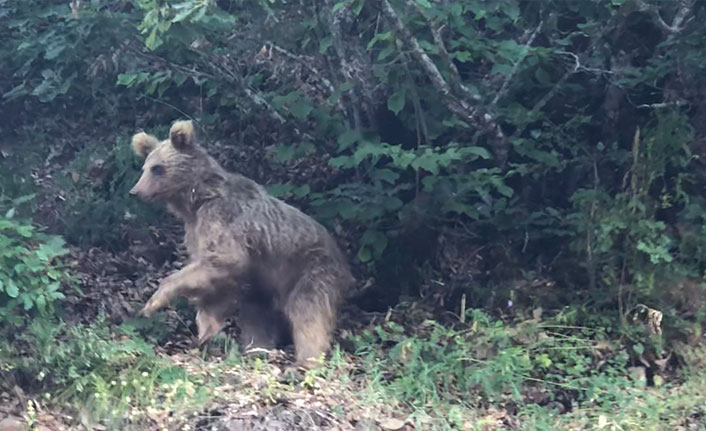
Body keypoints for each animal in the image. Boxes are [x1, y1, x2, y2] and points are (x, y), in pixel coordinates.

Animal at [128, 120, 352, 366]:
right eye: (144, 168)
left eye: (157, 168)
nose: (135, 191)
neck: (196, 201)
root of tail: (344, 261)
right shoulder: (197, 232)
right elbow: (214, 278)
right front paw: (206, 331)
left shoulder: (222, 220)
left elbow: (224, 260)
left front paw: (153, 303)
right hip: (266, 284)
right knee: (259, 315)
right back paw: (256, 349)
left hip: (312, 269)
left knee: (308, 312)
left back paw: (304, 361)